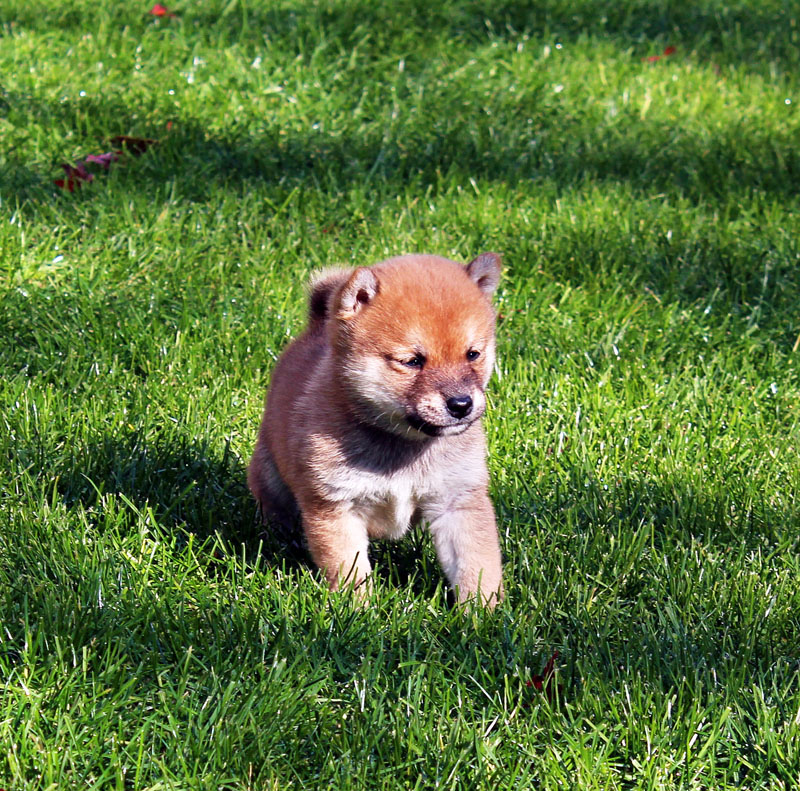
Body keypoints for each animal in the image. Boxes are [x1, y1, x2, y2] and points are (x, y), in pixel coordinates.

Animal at [247, 254, 504, 608]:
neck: (402, 443)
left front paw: (483, 613)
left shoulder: (458, 501)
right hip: (272, 474)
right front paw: (358, 613)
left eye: (472, 354)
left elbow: (477, 566)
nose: (462, 404)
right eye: (413, 361)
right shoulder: (335, 506)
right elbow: (349, 571)